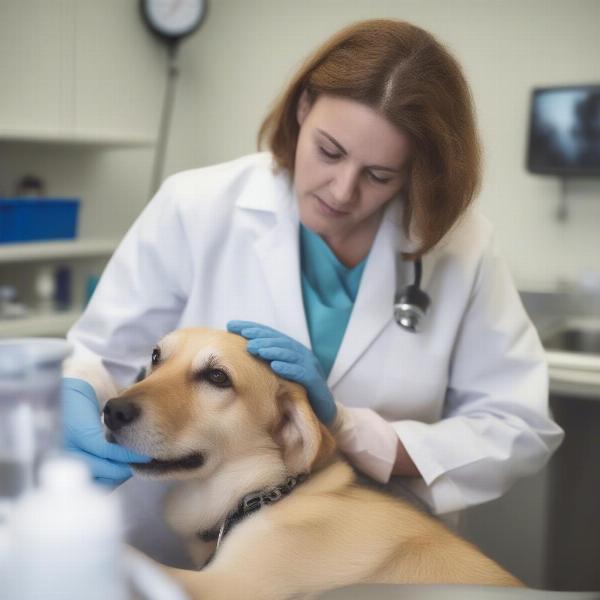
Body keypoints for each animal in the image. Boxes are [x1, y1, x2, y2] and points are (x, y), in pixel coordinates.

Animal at [103, 328, 520, 600]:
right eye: (156, 357)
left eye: (217, 377)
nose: (112, 410)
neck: (259, 495)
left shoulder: (224, 586)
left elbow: (134, 557)